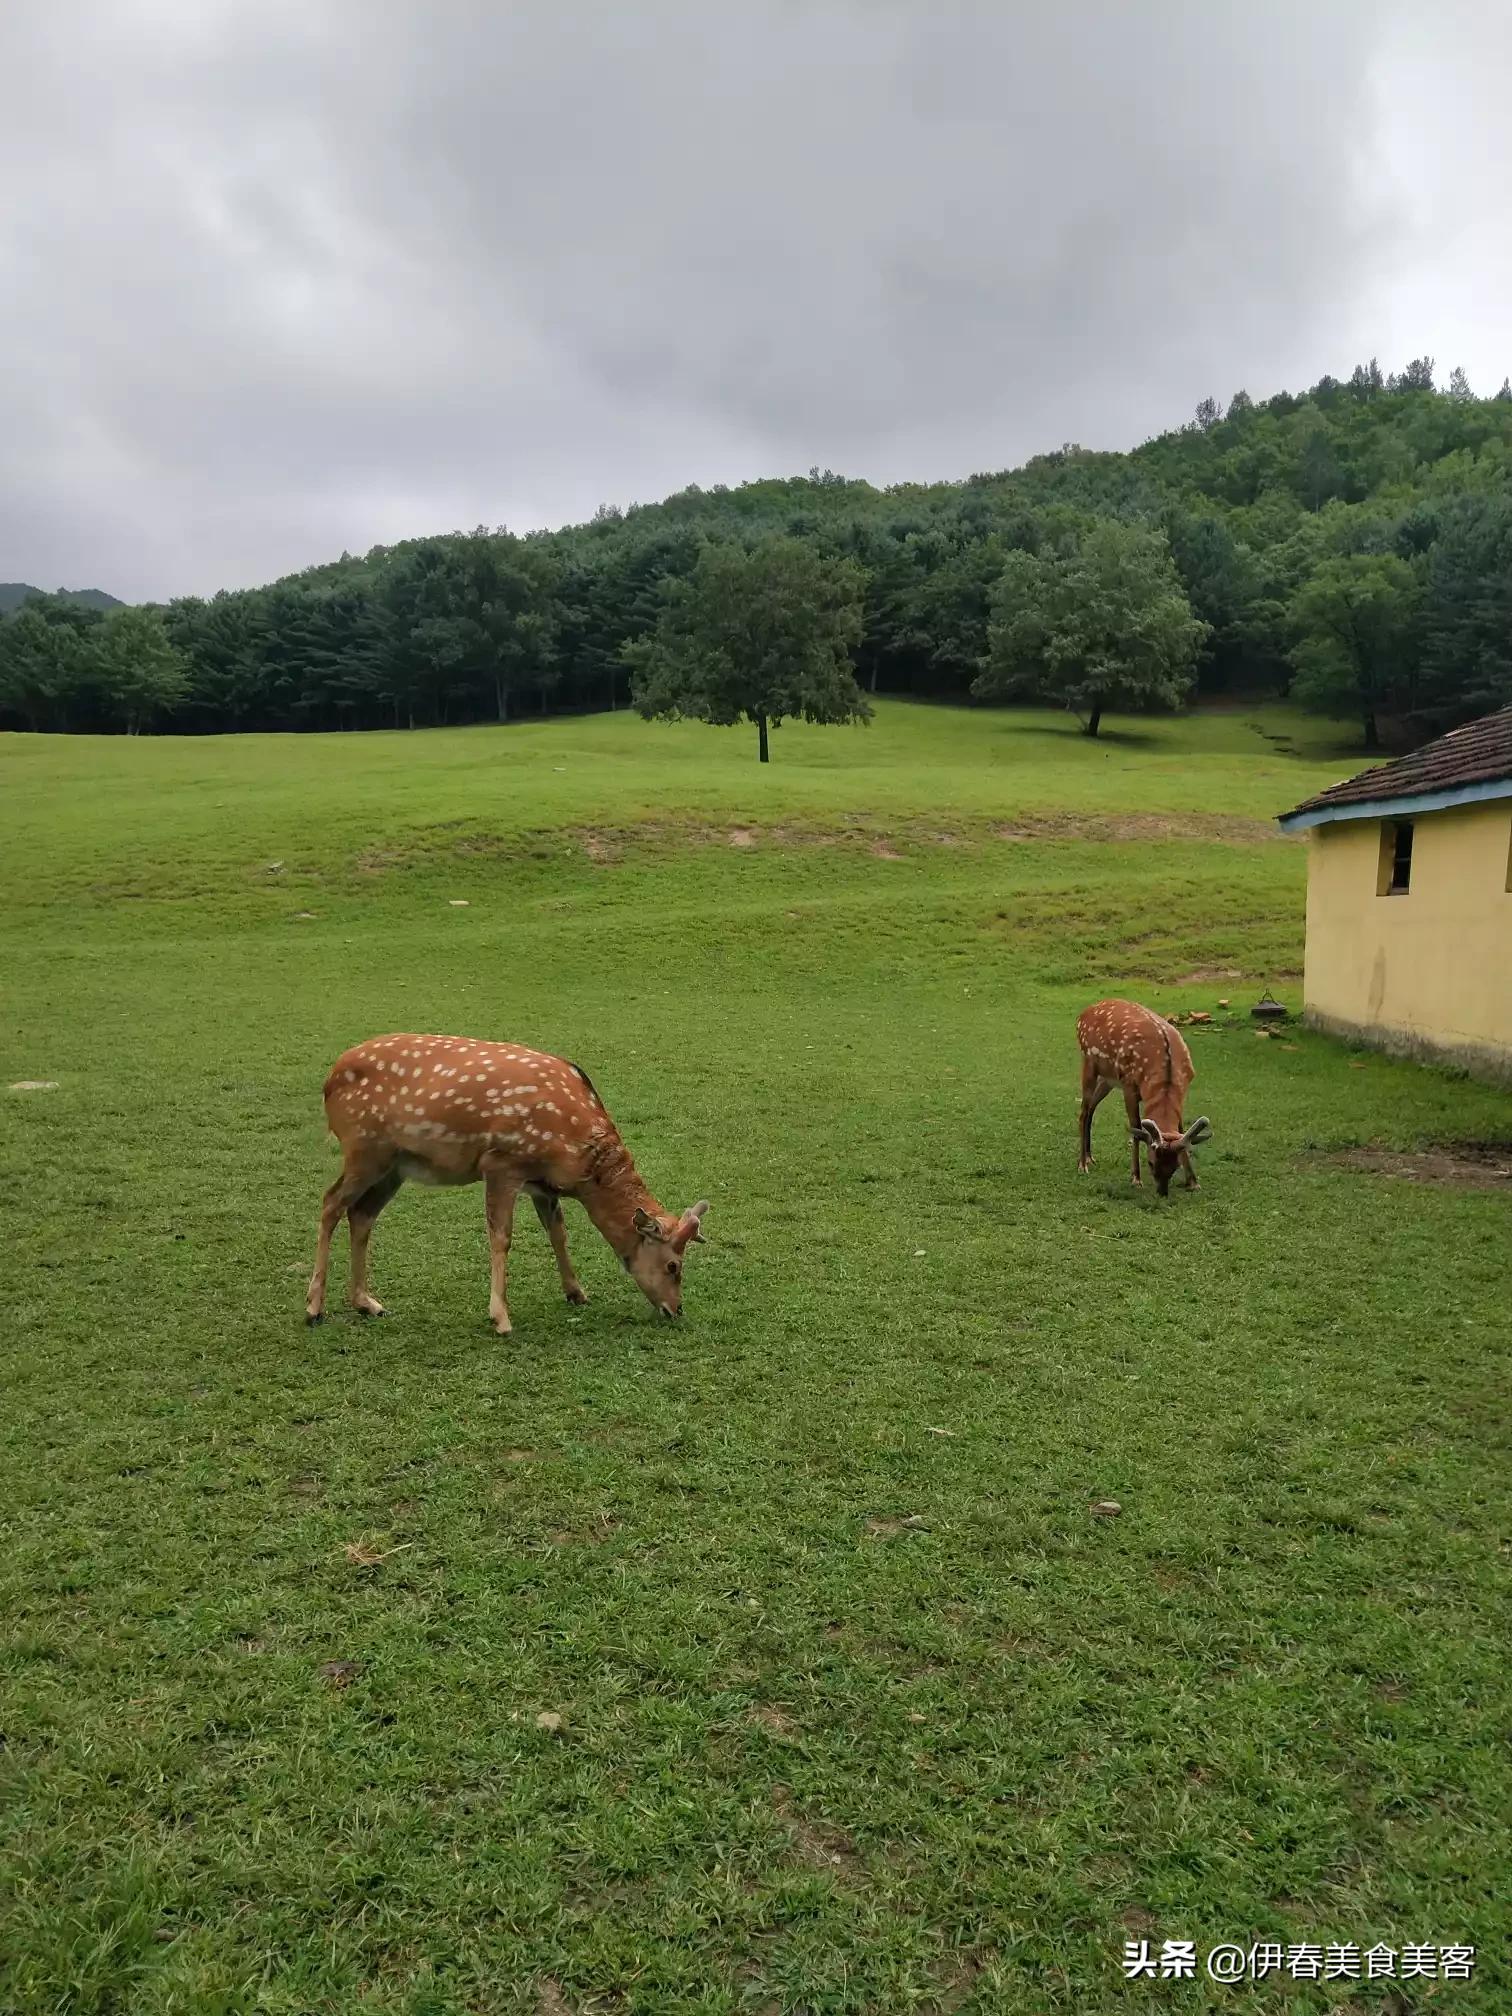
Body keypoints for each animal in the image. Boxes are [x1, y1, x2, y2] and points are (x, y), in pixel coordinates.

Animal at [308, 1040, 717, 1338]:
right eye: (673, 1265)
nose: (675, 1309)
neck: (577, 1160)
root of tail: (328, 1080)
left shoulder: (542, 1184)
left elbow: (558, 1232)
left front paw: (576, 1293)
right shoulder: (502, 1164)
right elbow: (501, 1237)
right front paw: (501, 1318)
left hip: (394, 1166)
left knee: (361, 1214)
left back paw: (366, 1303)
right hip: (364, 1149)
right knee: (330, 1202)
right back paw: (314, 1307)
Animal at [1080, 995, 1217, 1193]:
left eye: (1175, 1166)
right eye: (1151, 1162)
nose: (1162, 1191)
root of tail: (1085, 1013)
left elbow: (1181, 1130)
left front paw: (1193, 1181)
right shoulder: (1129, 1084)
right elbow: (1136, 1128)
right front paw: (1136, 1178)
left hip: (1108, 1079)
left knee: (1091, 1108)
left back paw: (1090, 1157)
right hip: (1089, 1063)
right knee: (1083, 1112)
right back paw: (1082, 1164)